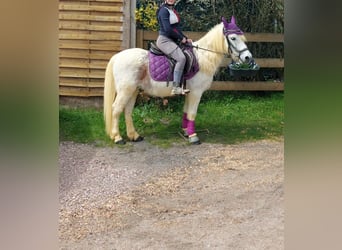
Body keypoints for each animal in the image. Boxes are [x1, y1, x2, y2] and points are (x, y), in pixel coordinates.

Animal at [103, 16, 252, 145]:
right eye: (233, 38)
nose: (247, 57)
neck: (203, 57)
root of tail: (117, 56)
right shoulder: (196, 93)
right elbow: (192, 113)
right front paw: (193, 136)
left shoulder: (189, 93)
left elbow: (186, 112)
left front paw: (186, 131)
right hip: (125, 91)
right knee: (116, 109)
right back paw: (117, 137)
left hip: (133, 91)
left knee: (127, 111)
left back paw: (134, 136)